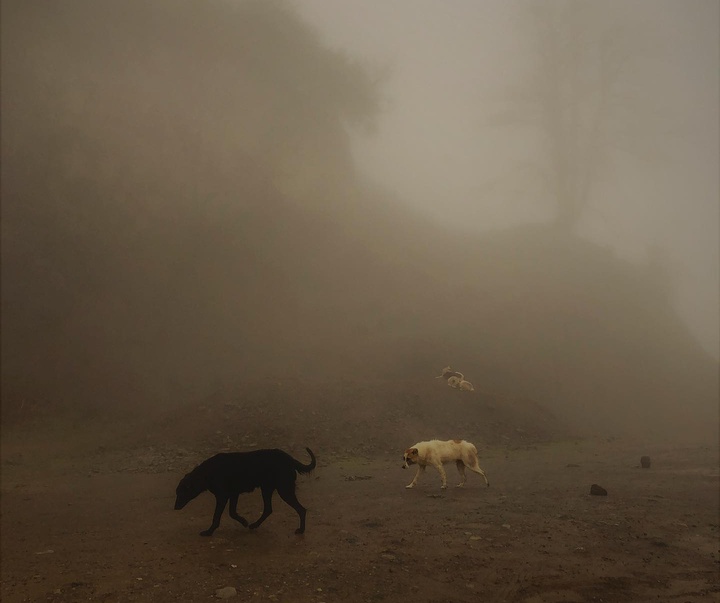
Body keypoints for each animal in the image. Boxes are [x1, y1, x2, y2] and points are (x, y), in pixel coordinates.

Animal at [174, 448, 316, 536]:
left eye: (181, 493)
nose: (174, 507)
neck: (207, 473)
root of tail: (290, 459)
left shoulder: (222, 497)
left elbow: (216, 516)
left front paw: (209, 532)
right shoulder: (233, 494)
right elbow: (232, 513)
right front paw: (244, 521)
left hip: (284, 490)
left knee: (301, 509)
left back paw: (301, 530)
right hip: (267, 489)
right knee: (268, 509)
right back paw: (254, 525)